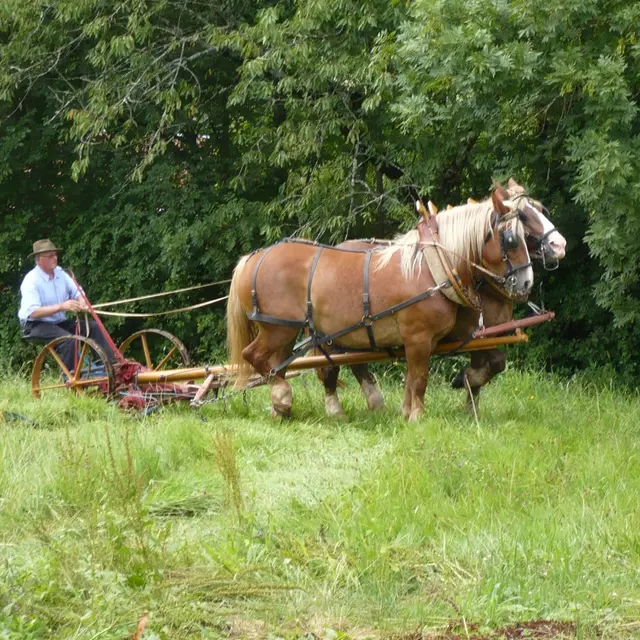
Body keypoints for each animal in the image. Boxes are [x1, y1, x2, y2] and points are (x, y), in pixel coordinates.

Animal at [228, 184, 532, 420]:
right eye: (512, 239)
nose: (527, 282)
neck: (429, 267)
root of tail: (254, 258)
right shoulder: (419, 337)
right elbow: (419, 378)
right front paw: (417, 417)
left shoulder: (427, 341)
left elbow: (412, 378)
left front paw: (407, 413)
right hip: (278, 328)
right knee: (255, 356)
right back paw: (283, 398)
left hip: (288, 331)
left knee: (280, 364)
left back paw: (284, 409)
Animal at [316, 180, 564, 420]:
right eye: (523, 217)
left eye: (541, 209)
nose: (560, 245)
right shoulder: (469, 335)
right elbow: (489, 365)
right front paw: (463, 386)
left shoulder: (486, 336)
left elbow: (494, 363)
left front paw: (468, 406)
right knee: (330, 365)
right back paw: (338, 408)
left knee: (354, 363)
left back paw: (375, 402)